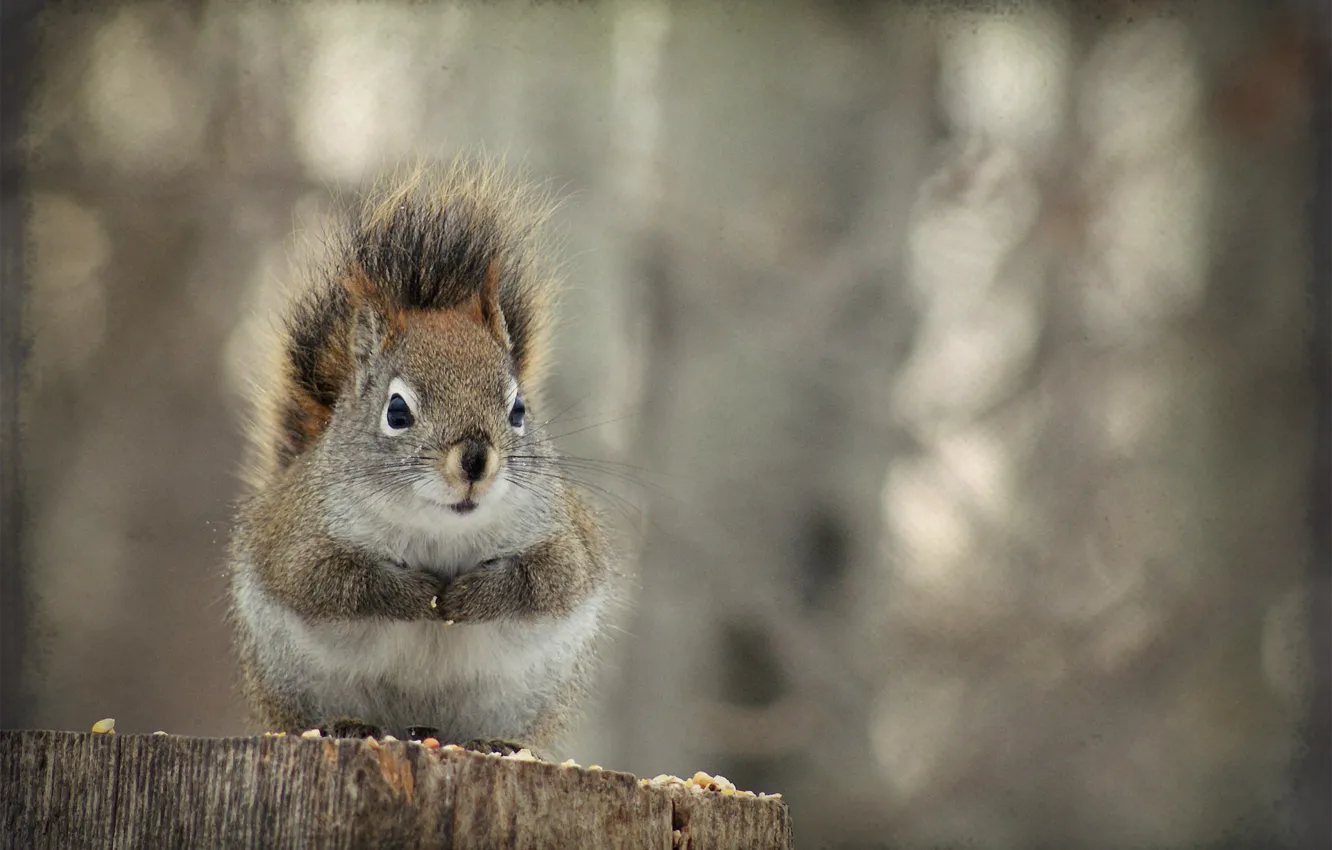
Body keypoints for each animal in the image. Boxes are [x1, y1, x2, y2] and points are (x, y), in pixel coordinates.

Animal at [227, 161, 612, 756]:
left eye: (519, 408)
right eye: (397, 411)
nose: (474, 460)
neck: (442, 530)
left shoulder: (563, 539)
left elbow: (547, 579)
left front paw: (471, 598)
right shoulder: (301, 541)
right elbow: (332, 582)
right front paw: (416, 596)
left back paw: (494, 743)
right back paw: (349, 725)